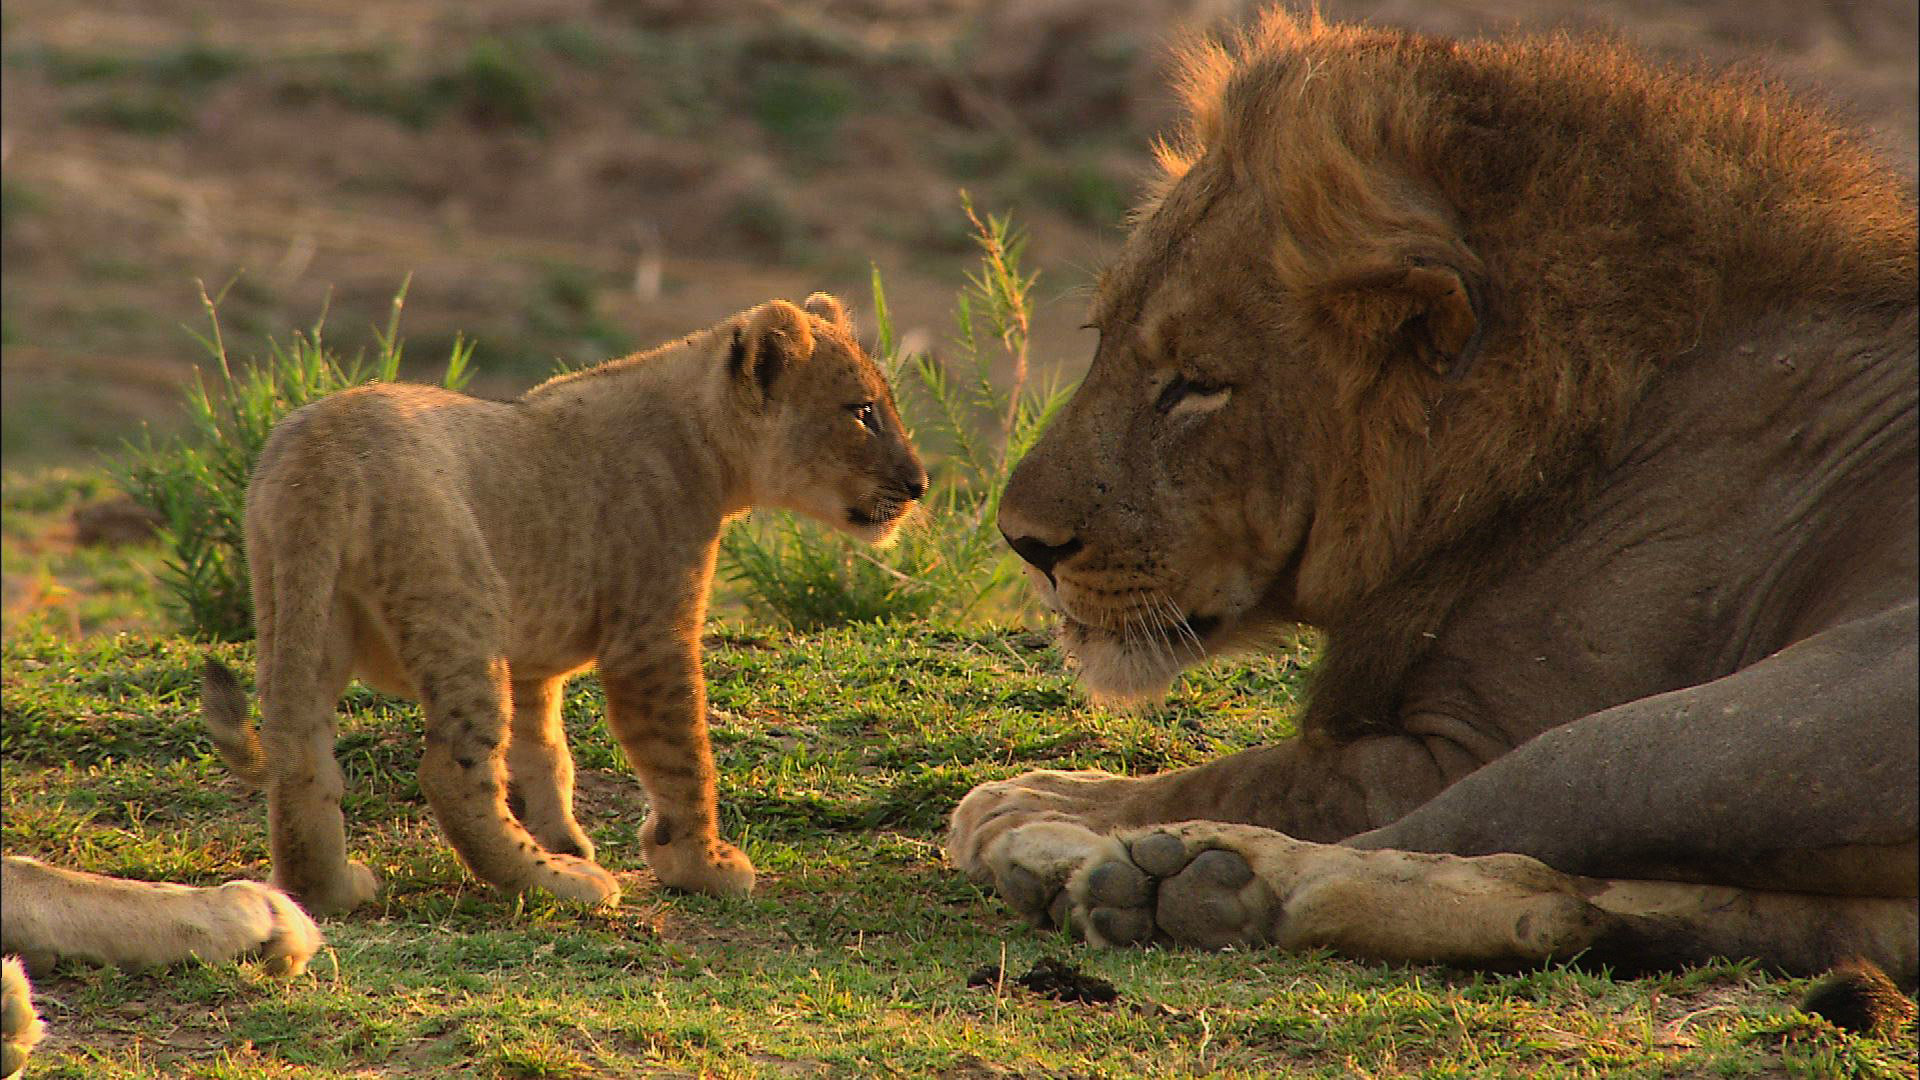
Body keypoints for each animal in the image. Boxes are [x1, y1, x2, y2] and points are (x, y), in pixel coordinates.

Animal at [202, 294, 925, 914]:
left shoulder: (532, 658)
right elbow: (683, 754)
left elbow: (545, 752)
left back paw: (331, 890)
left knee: (299, 756)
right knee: (451, 771)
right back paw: (559, 886)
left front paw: (566, 838)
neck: (707, 444)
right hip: (460, 609)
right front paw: (701, 864)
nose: (920, 483)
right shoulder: (650, 638)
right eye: (862, 411)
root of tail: (321, 454)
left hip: (297, 606)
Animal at [946, 11, 1919, 992]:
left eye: (1196, 386)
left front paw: (1040, 800)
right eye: (1101, 336)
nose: (1024, 543)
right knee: (1590, 903)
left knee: (1463, 835)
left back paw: (1104, 858)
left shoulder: (1471, 739)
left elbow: (1263, 775)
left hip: (1702, 739)